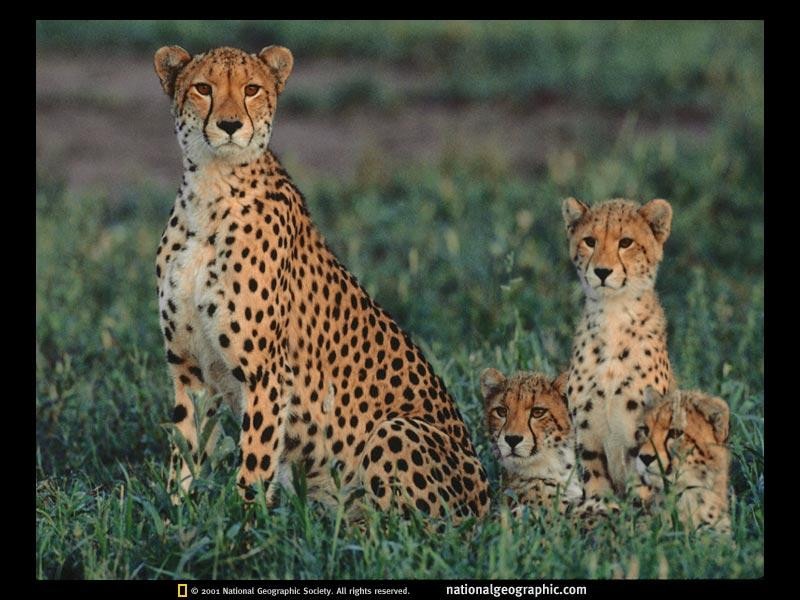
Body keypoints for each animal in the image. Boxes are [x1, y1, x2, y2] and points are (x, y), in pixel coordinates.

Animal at [149, 44, 488, 516]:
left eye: (251, 89)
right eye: (203, 88)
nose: (230, 125)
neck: (212, 188)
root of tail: (489, 502)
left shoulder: (267, 375)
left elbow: (254, 462)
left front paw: (244, 524)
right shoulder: (188, 368)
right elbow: (186, 448)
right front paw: (178, 513)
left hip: (394, 431)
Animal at [560, 199, 680, 504]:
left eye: (626, 242)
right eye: (589, 241)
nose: (602, 272)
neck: (613, 315)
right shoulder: (587, 433)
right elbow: (595, 480)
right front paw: (599, 506)